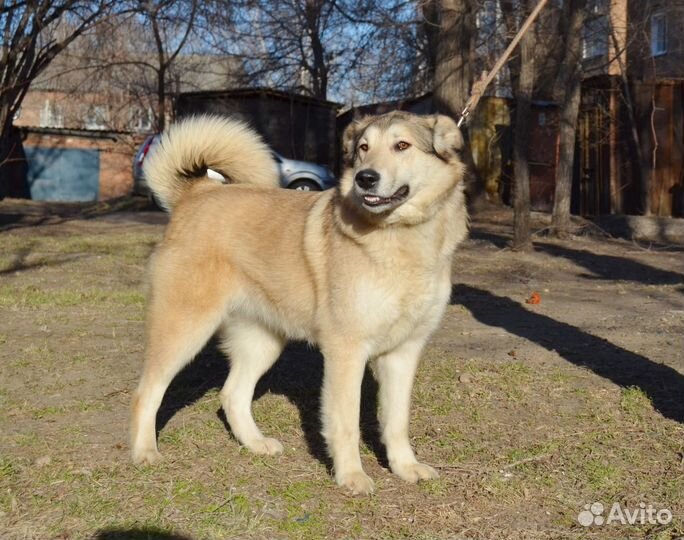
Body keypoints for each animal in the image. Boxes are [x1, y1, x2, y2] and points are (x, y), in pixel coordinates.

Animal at [130, 109, 468, 494]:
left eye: (402, 145)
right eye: (364, 148)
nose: (365, 178)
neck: (402, 237)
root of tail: (198, 193)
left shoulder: (403, 353)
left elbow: (396, 421)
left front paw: (405, 466)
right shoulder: (346, 352)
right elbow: (345, 422)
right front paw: (351, 476)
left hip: (262, 342)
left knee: (232, 395)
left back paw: (256, 444)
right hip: (184, 330)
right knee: (147, 393)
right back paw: (145, 452)